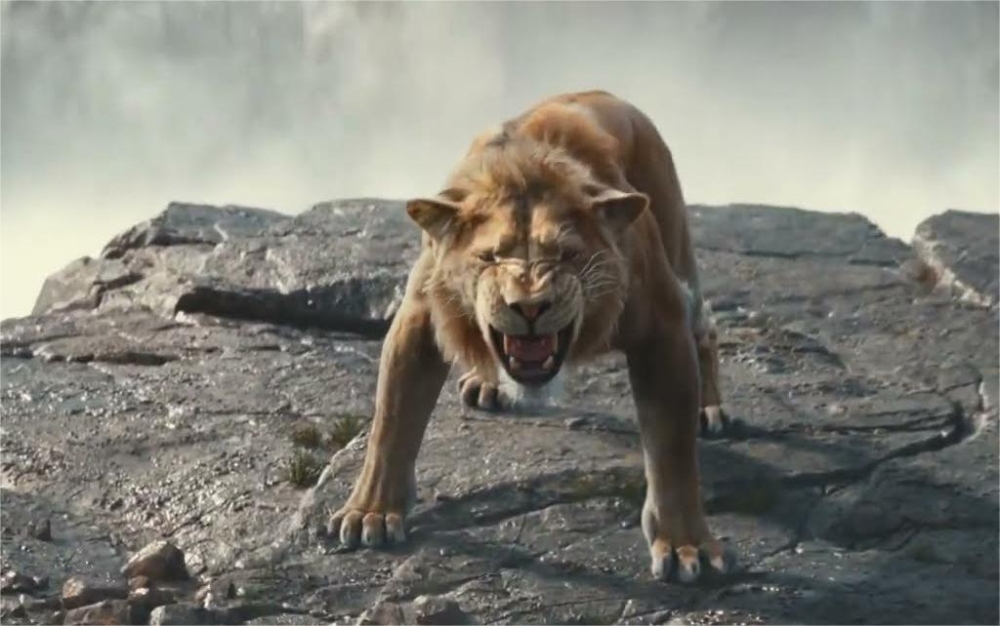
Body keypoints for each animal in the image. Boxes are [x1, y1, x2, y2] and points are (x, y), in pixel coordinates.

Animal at [328, 90, 734, 582]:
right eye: (489, 257)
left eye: (567, 255)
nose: (530, 306)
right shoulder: (422, 315)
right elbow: (391, 421)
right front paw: (370, 511)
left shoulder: (662, 324)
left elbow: (673, 451)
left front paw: (685, 544)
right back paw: (486, 384)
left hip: (676, 248)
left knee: (706, 326)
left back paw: (709, 409)